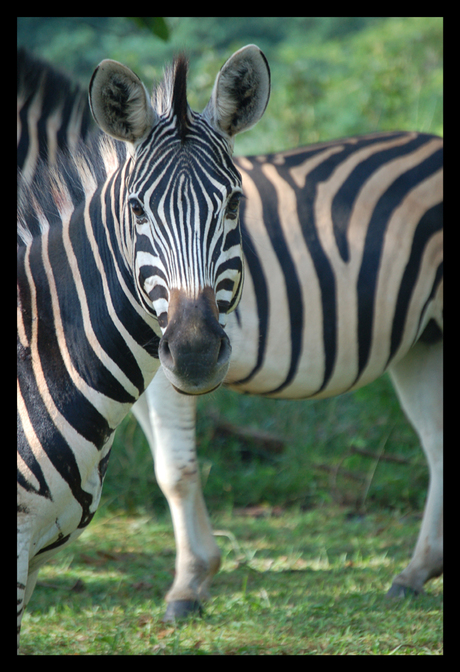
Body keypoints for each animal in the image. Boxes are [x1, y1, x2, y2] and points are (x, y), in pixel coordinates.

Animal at [130, 131, 442, 620]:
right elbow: (165, 468)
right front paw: (200, 574)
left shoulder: (169, 361)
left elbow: (176, 471)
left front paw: (187, 585)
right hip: (424, 342)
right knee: (437, 445)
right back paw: (416, 572)